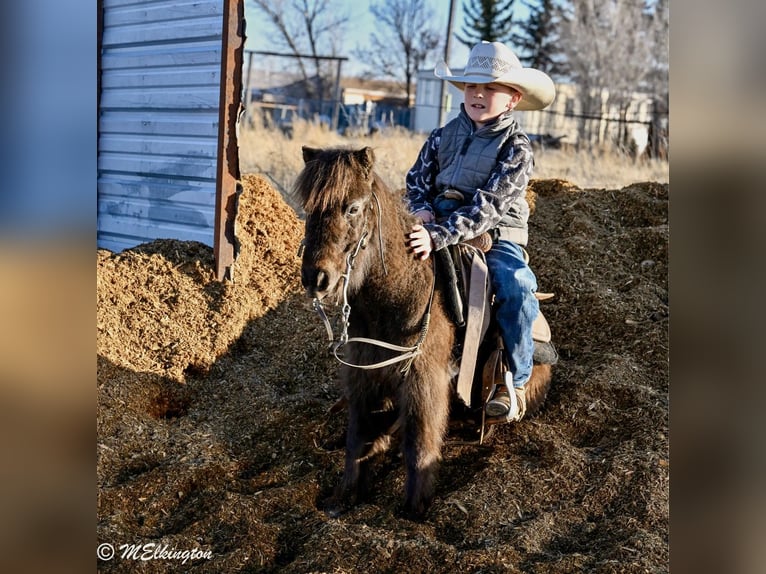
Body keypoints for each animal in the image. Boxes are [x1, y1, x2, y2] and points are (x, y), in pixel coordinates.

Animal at [293, 145, 552, 518]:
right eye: (308, 208)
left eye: (352, 207)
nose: (316, 278)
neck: (394, 296)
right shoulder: (363, 374)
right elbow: (357, 435)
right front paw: (345, 495)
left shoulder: (423, 378)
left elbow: (419, 441)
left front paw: (414, 506)